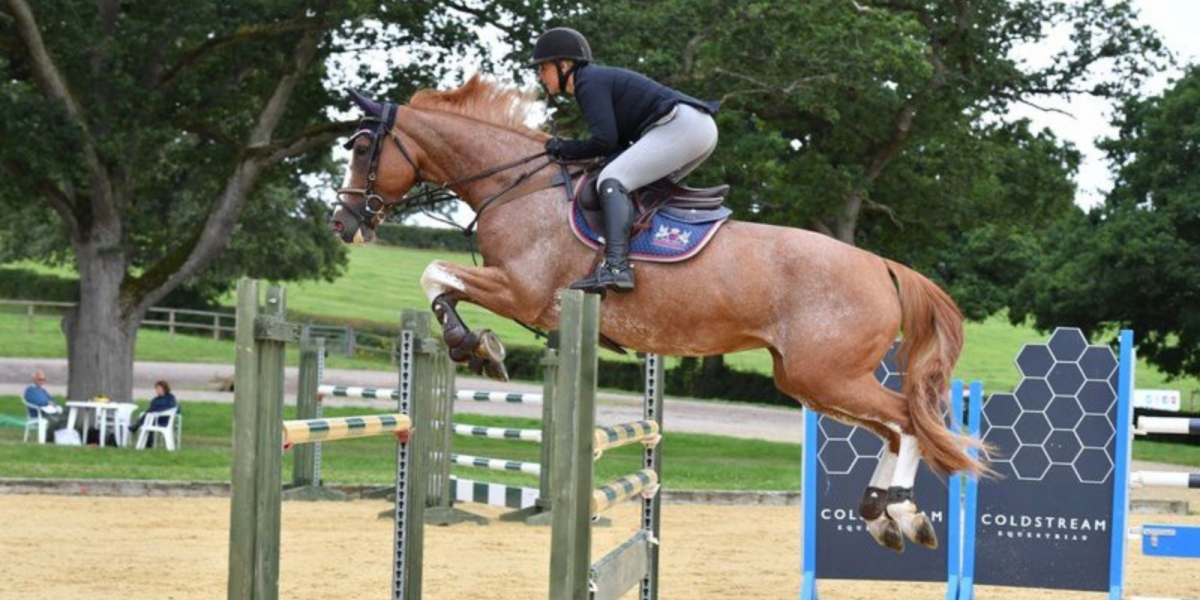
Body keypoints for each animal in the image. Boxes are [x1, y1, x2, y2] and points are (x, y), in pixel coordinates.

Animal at [331, 76, 984, 552]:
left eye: (362, 148)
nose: (343, 223)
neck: (517, 186)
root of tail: (881, 265)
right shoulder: (517, 292)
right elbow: (440, 282)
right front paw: (478, 345)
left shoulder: (521, 290)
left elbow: (434, 274)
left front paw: (476, 346)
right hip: (809, 379)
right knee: (896, 426)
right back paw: (882, 515)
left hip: (825, 374)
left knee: (906, 420)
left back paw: (901, 513)